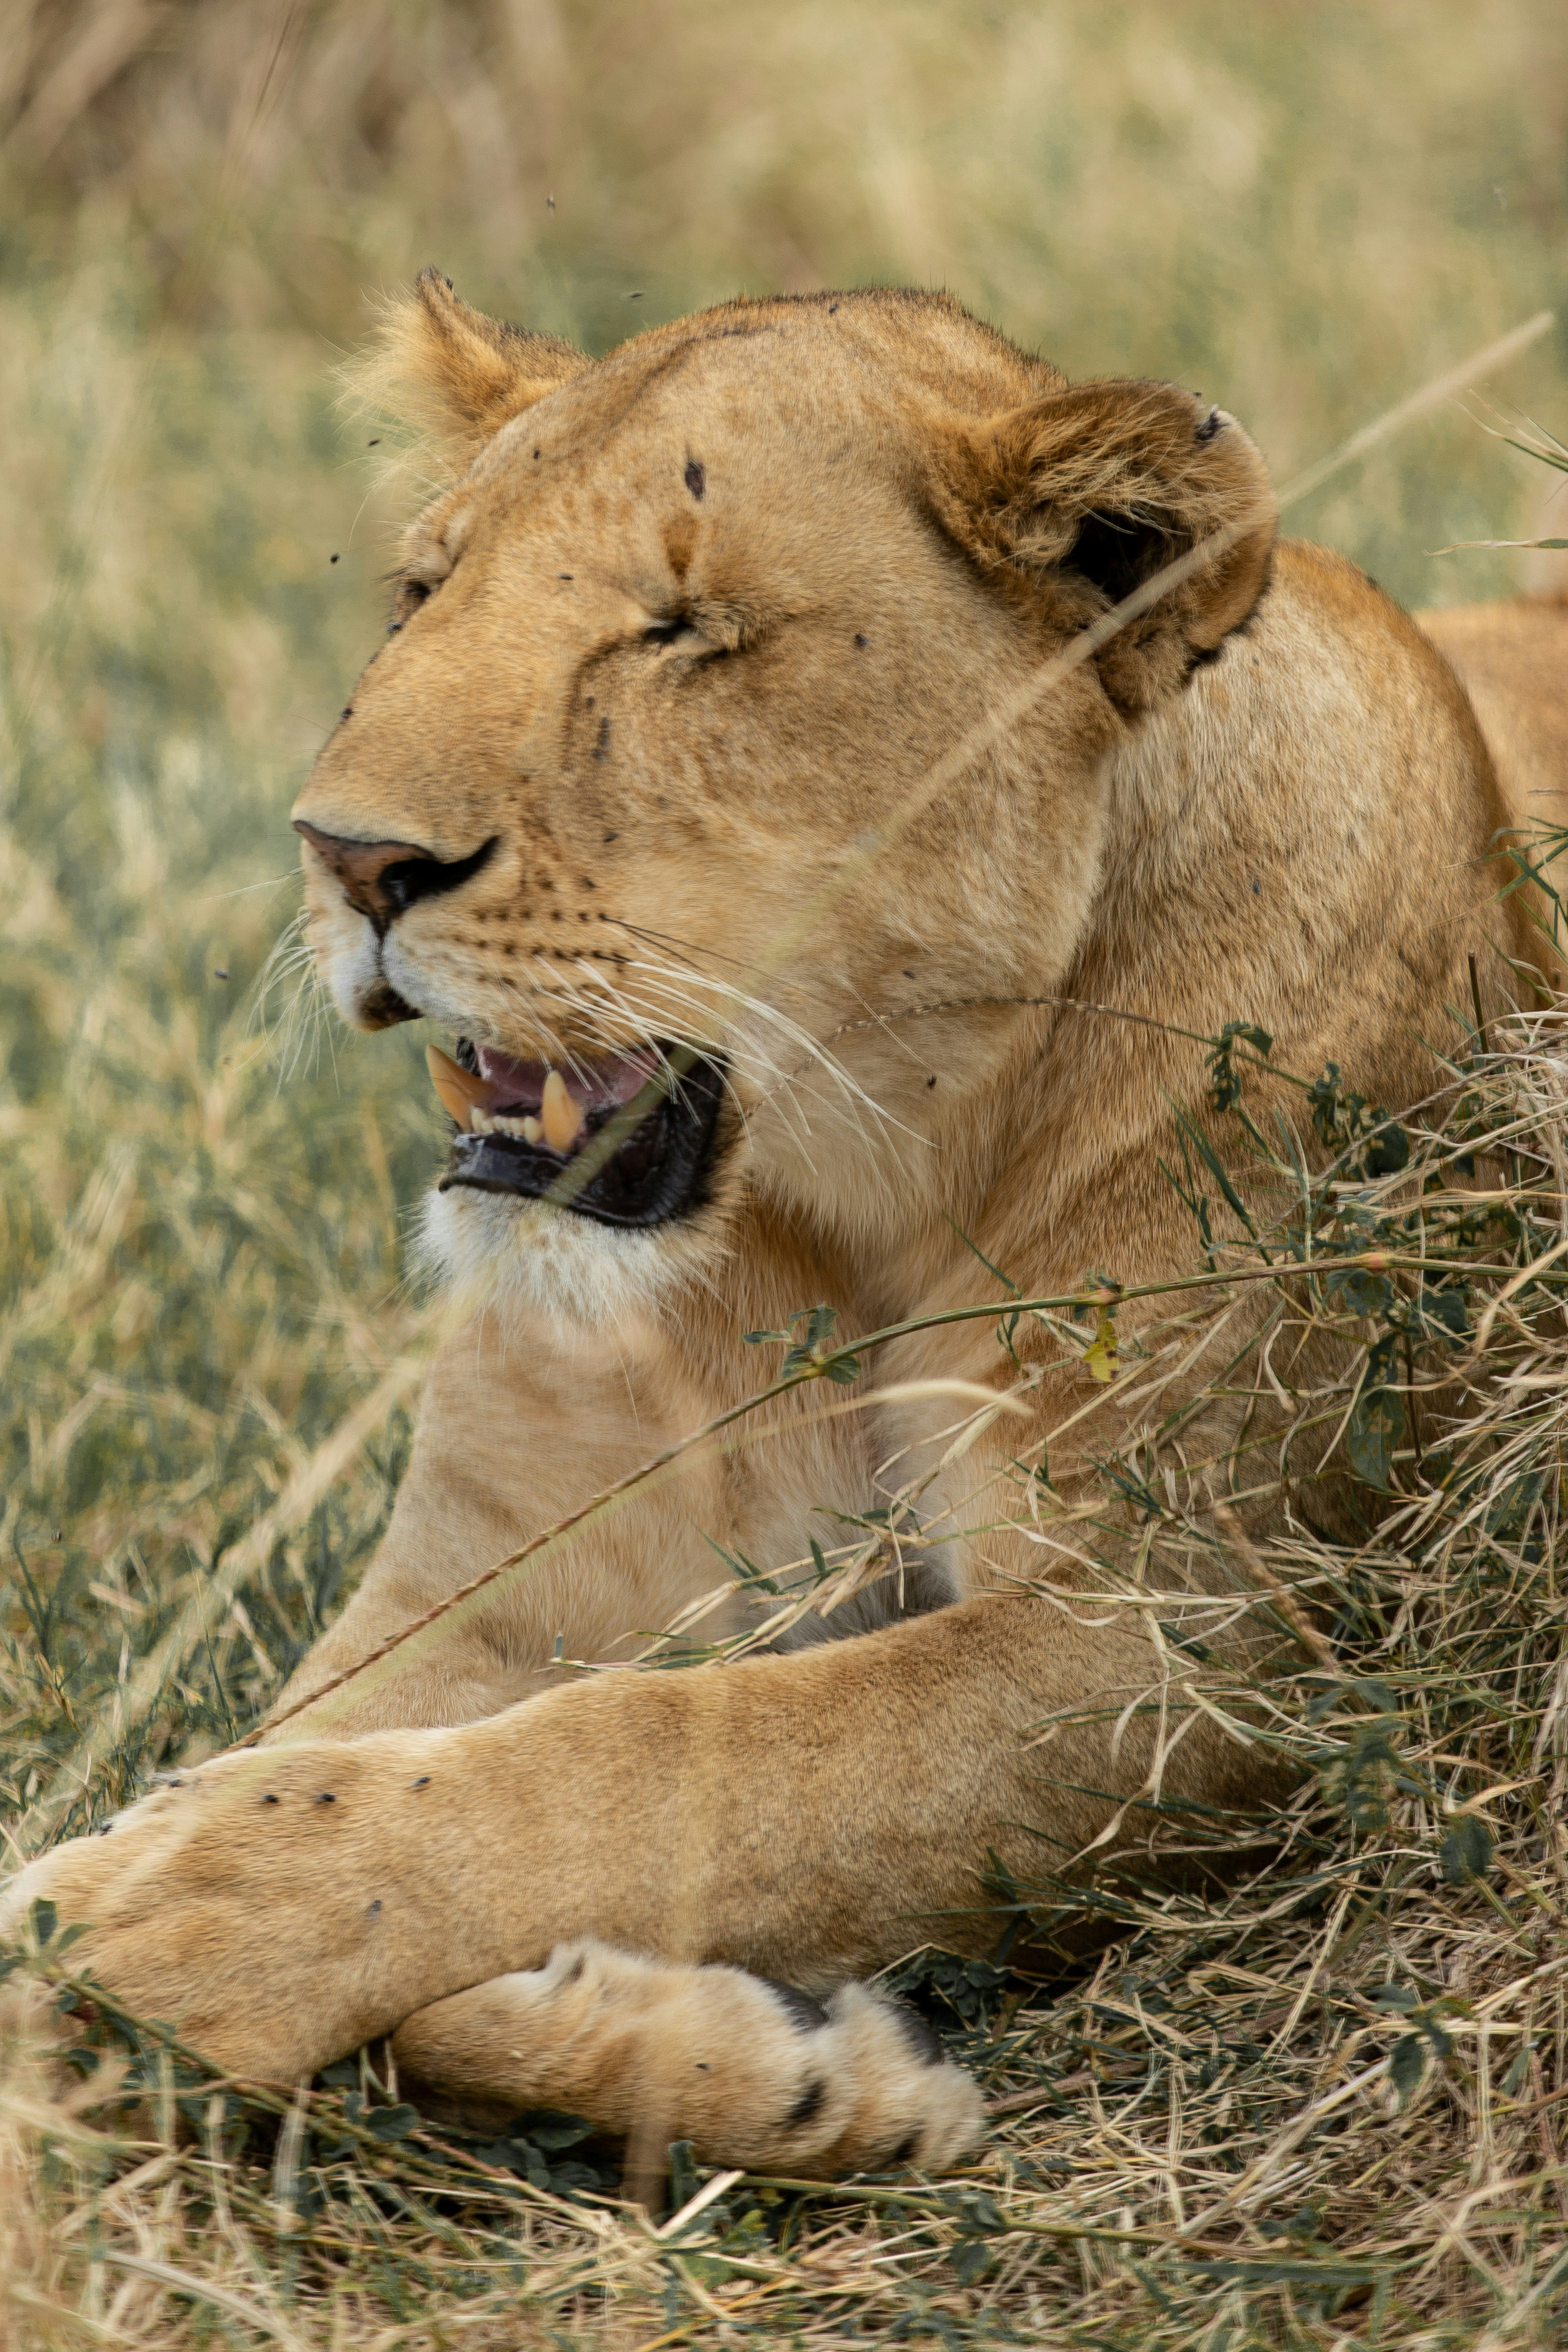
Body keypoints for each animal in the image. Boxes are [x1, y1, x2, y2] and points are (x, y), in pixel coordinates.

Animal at [6, 280, 1567, 2181]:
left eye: (684, 632)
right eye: (419, 591)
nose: (346, 856)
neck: (851, 1215)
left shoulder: (1190, 1644)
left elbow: (674, 1751)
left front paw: (186, 1905)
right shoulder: (469, 1585)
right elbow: (348, 1771)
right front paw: (777, 2064)